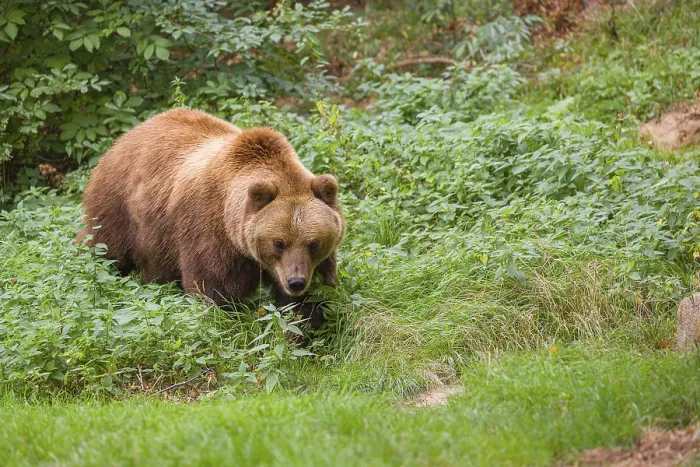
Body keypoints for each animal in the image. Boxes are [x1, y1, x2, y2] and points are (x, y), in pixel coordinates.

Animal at [77, 108, 344, 329]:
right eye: (279, 242)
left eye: (313, 243)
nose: (295, 281)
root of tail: (123, 138)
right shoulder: (208, 228)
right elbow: (213, 289)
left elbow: (312, 298)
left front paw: (304, 326)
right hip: (119, 208)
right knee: (105, 251)